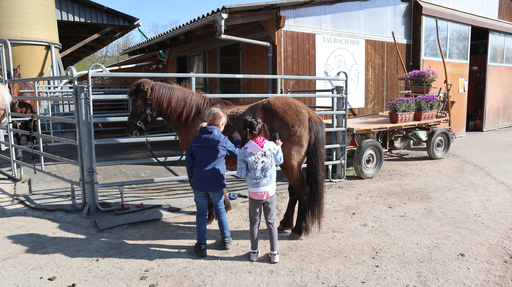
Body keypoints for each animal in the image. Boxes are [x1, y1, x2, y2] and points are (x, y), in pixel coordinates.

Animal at [126, 78, 326, 238]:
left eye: (135, 101)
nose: (130, 129)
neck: (193, 116)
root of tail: (308, 112)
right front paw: (222, 209)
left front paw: (211, 216)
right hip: (292, 164)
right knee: (294, 192)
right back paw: (285, 223)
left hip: (290, 165)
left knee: (303, 191)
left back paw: (298, 229)